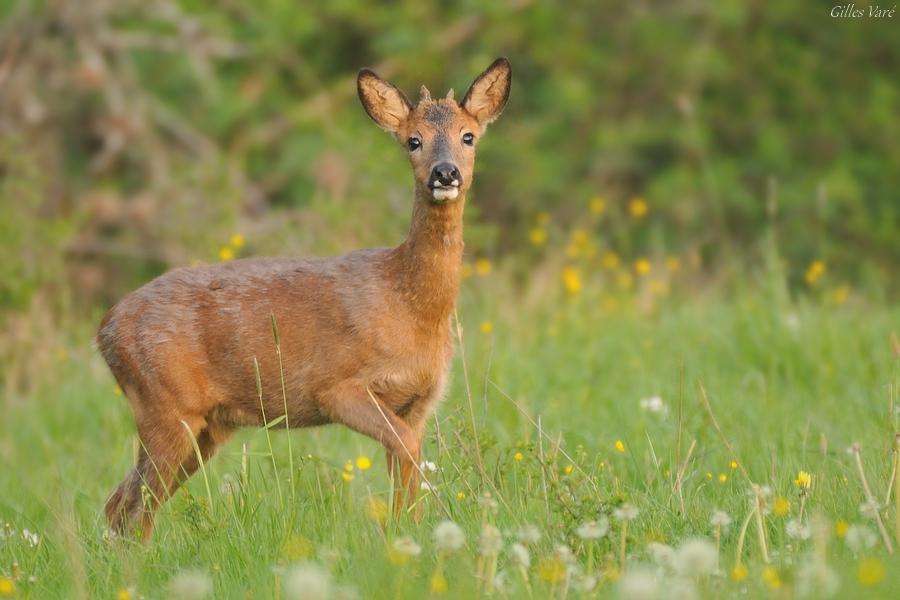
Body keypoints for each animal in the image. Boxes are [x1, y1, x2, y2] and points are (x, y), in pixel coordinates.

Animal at [97, 57, 510, 540]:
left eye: (468, 136)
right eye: (413, 140)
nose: (445, 173)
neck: (411, 307)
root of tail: (104, 328)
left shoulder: (418, 404)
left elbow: (406, 468)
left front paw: (409, 535)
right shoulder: (336, 386)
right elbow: (405, 452)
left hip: (206, 425)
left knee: (122, 503)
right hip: (164, 403)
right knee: (131, 505)